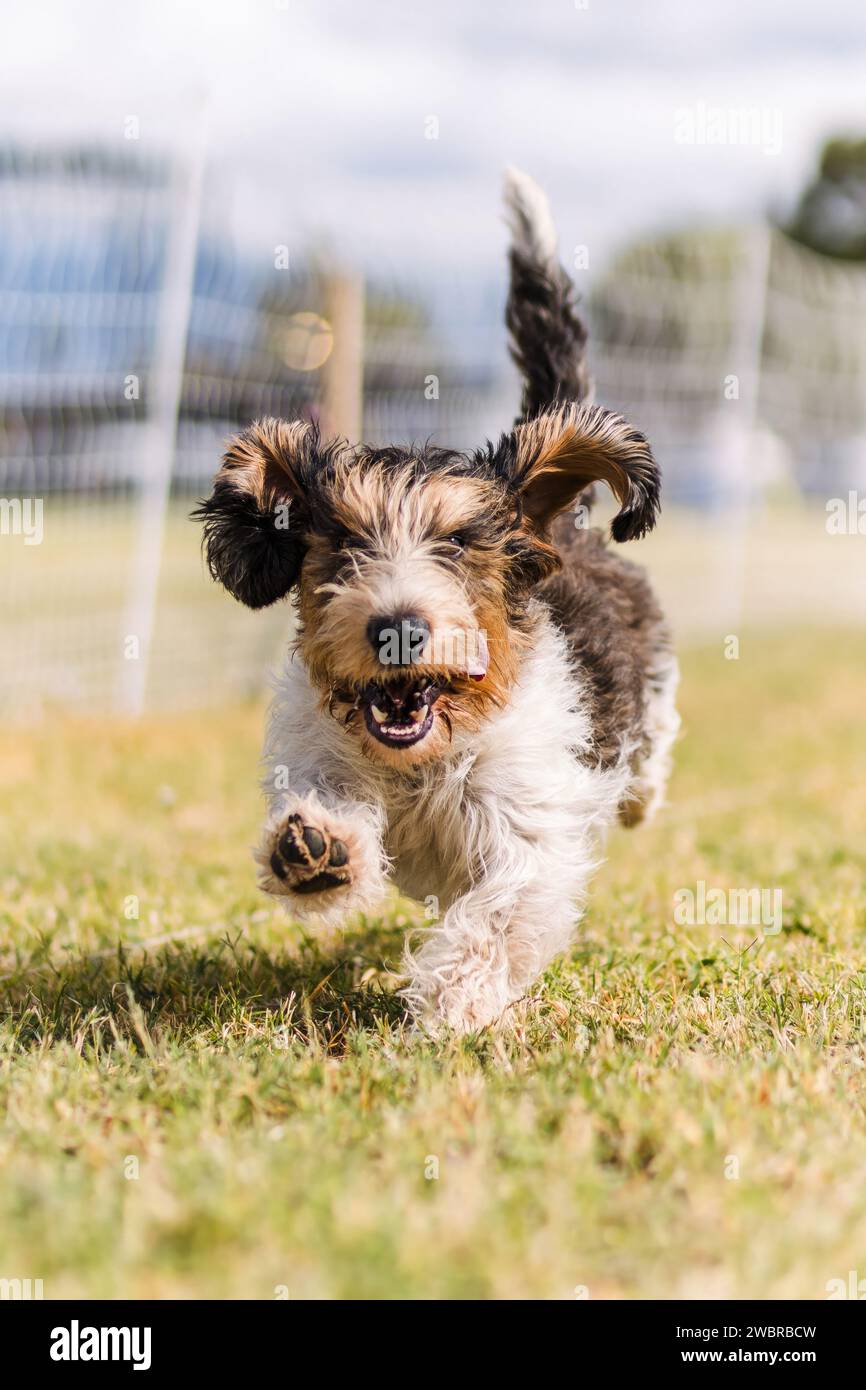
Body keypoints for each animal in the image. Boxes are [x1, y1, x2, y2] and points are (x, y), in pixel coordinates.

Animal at [194, 170, 678, 1034]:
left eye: (456, 543)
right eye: (346, 543)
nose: (398, 628)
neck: (423, 759)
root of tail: (568, 522)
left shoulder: (529, 820)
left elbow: (504, 907)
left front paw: (455, 998)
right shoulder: (322, 751)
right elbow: (328, 801)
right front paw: (317, 849)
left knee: (650, 751)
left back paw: (639, 796)